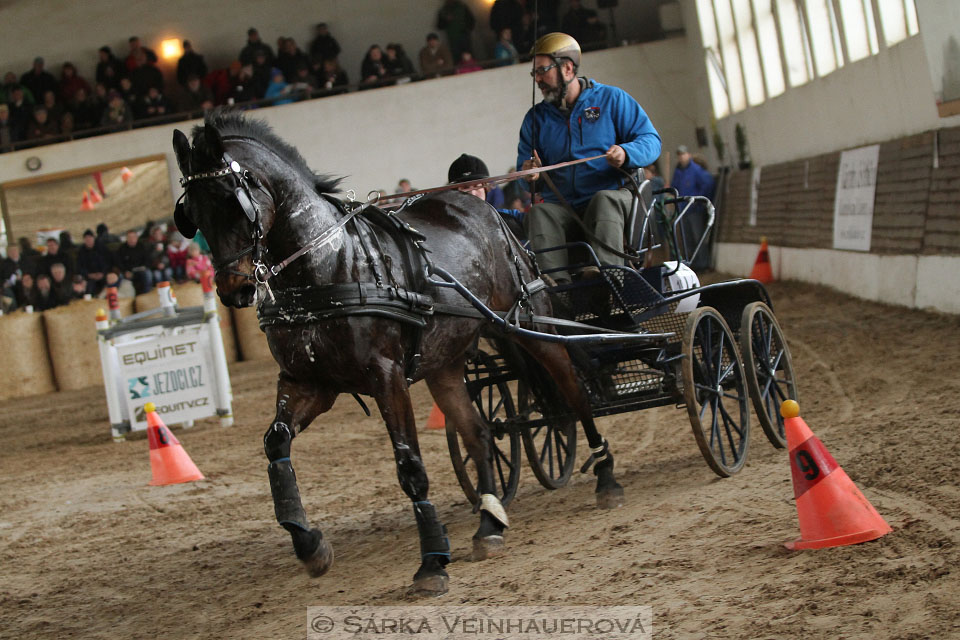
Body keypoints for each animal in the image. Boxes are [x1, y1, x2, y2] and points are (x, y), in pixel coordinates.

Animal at [171, 111, 624, 596]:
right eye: (191, 213)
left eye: (231, 201)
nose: (232, 290)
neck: (329, 266)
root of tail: (485, 210)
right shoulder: (308, 382)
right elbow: (276, 444)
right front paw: (310, 545)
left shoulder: (386, 376)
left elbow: (410, 467)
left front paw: (433, 562)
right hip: (445, 363)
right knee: (479, 433)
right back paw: (488, 524)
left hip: (531, 326)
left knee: (571, 390)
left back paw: (606, 477)